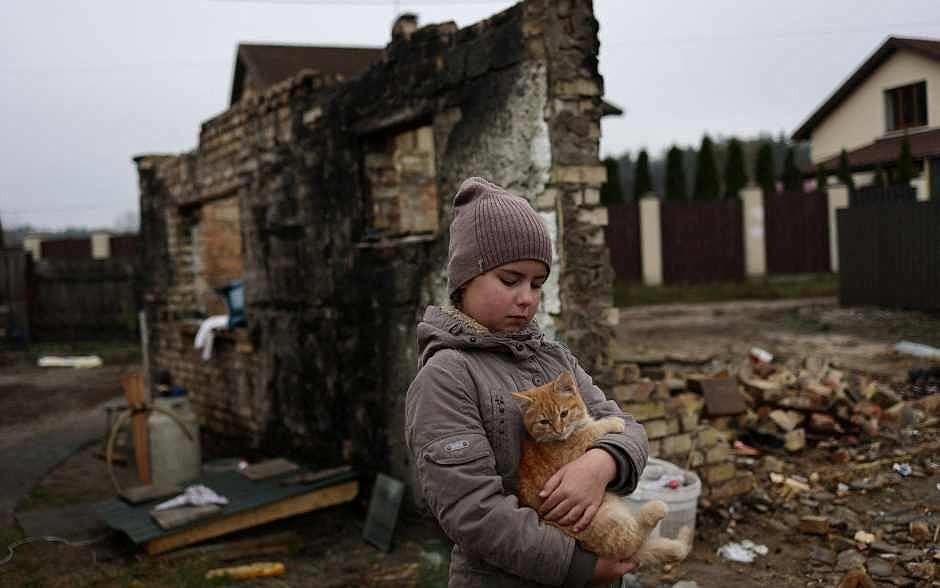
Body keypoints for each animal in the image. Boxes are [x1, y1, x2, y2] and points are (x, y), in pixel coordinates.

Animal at [516, 372, 692, 568]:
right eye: (544, 421)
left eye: (564, 413)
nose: (559, 430)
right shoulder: (574, 451)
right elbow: (591, 431)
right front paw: (613, 422)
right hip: (607, 519)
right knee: (630, 543)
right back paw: (656, 510)